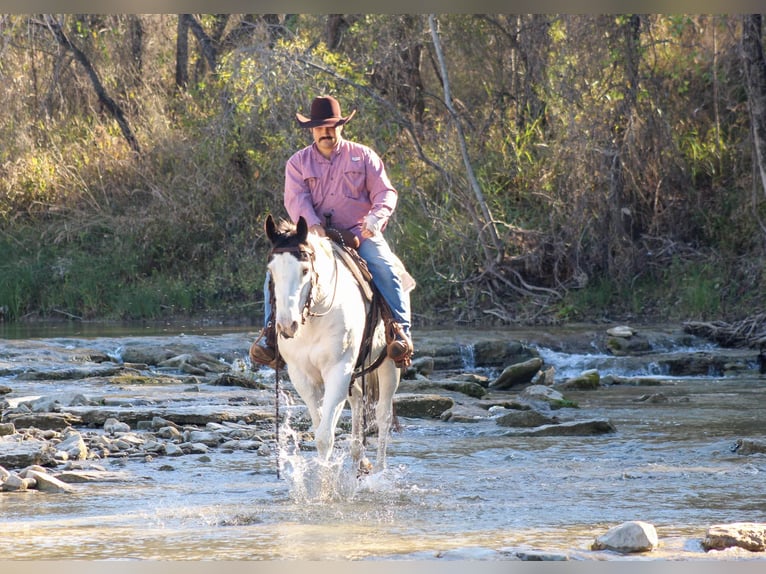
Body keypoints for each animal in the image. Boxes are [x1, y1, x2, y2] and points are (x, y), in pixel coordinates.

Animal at [264, 214, 401, 474]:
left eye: (305, 270)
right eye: (271, 270)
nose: (287, 325)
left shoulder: (338, 370)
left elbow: (325, 436)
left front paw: (325, 481)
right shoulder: (302, 376)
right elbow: (320, 426)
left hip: (388, 364)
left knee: (383, 415)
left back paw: (379, 471)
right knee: (358, 401)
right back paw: (359, 458)